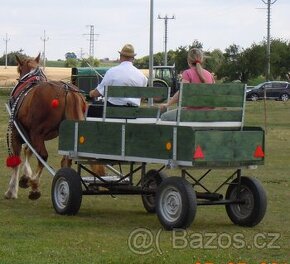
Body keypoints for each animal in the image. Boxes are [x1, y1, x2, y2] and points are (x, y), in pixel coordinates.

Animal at [5, 54, 105, 200]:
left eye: (18, 69)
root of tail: (69, 92)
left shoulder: (18, 132)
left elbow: (18, 157)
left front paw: (12, 190)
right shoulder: (29, 134)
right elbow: (28, 151)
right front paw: (24, 178)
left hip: (37, 133)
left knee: (43, 156)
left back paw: (35, 186)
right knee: (66, 159)